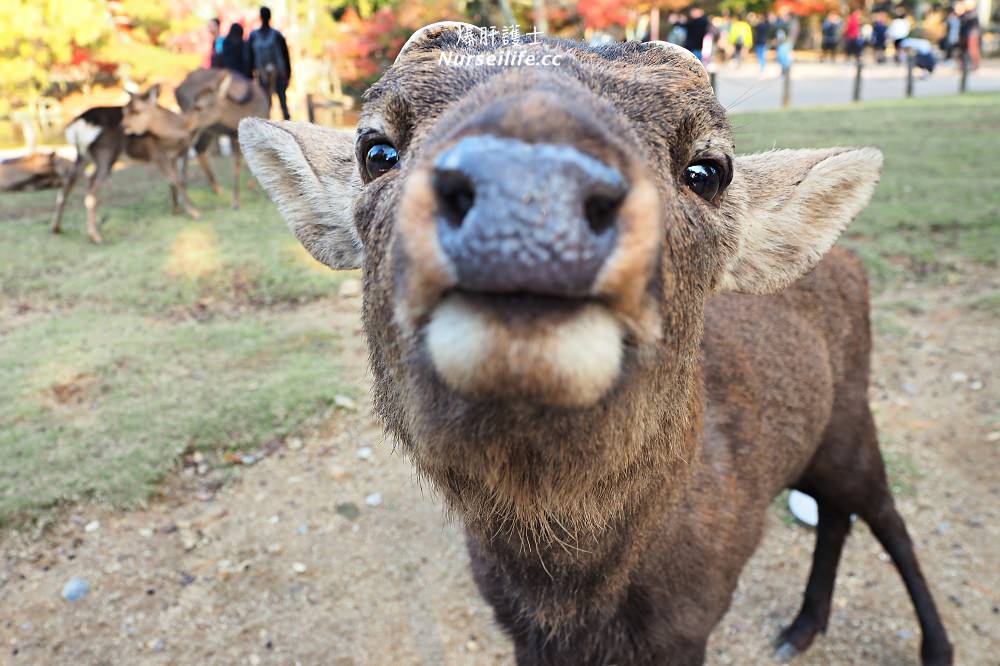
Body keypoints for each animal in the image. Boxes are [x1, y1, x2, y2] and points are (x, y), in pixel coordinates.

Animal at [52, 78, 230, 244]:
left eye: (135, 111)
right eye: (125, 110)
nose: (123, 126)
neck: (176, 131)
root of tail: (77, 125)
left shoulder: (173, 157)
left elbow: (174, 182)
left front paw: (176, 210)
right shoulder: (158, 154)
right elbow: (177, 180)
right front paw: (195, 212)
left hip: (82, 156)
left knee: (65, 188)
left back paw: (56, 228)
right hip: (106, 154)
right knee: (90, 193)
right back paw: (95, 236)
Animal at [175, 67, 270, 208]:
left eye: (199, 107)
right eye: (195, 102)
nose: (183, 121)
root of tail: (177, 89)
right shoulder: (234, 135)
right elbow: (237, 164)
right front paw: (235, 202)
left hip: (208, 129)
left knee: (198, 148)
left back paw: (216, 189)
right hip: (200, 127)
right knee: (186, 150)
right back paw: (184, 199)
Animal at [234, 23, 952, 660]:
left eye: (708, 168)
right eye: (377, 149)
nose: (528, 189)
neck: (574, 603)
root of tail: (848, 260)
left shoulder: (692, 621)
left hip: (853, 419)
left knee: (884, 514)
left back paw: (933, 645)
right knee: (835, 514)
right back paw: (803, 626)